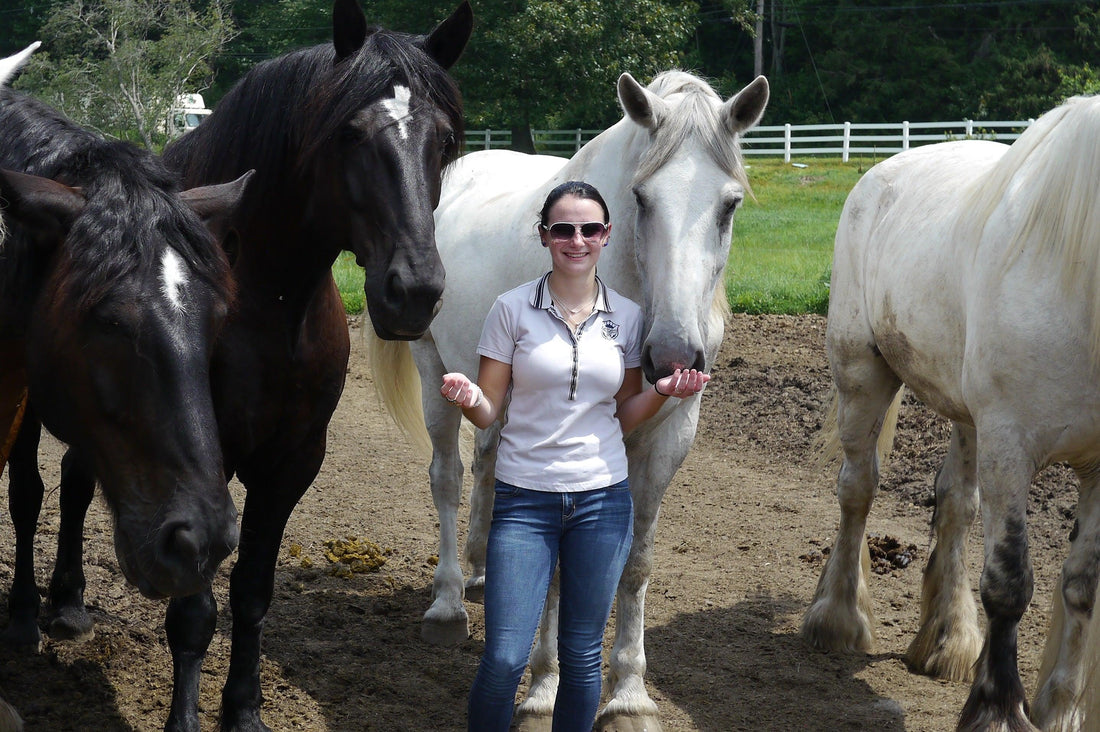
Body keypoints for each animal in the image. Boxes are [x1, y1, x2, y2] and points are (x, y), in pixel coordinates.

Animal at [0, 63, 250, 653]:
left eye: (217, 318)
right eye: (108, 321)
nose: (200, 542)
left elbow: (75, 484)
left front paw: (67, 601)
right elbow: (26, 493)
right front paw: (22, 614)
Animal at [40, 1, 472, 729]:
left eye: (443, 142)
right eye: (349, 133)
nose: (413, 291)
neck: (265, 300)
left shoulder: (291, 460)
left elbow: (253, 591)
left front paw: (243, 707)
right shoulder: (200, 464)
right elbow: (195, 607)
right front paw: (185, 717)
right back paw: (57, 604)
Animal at [803, 94, 1100, 731]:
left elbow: (1082, 585)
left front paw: (1060, 709)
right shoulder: (1010, 447)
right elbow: (1010, 583)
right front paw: (996, 709)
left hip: (967, 421)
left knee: (956, 506)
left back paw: (947, 639)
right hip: (863, 378)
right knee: (857, 491)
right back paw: (837, 618)